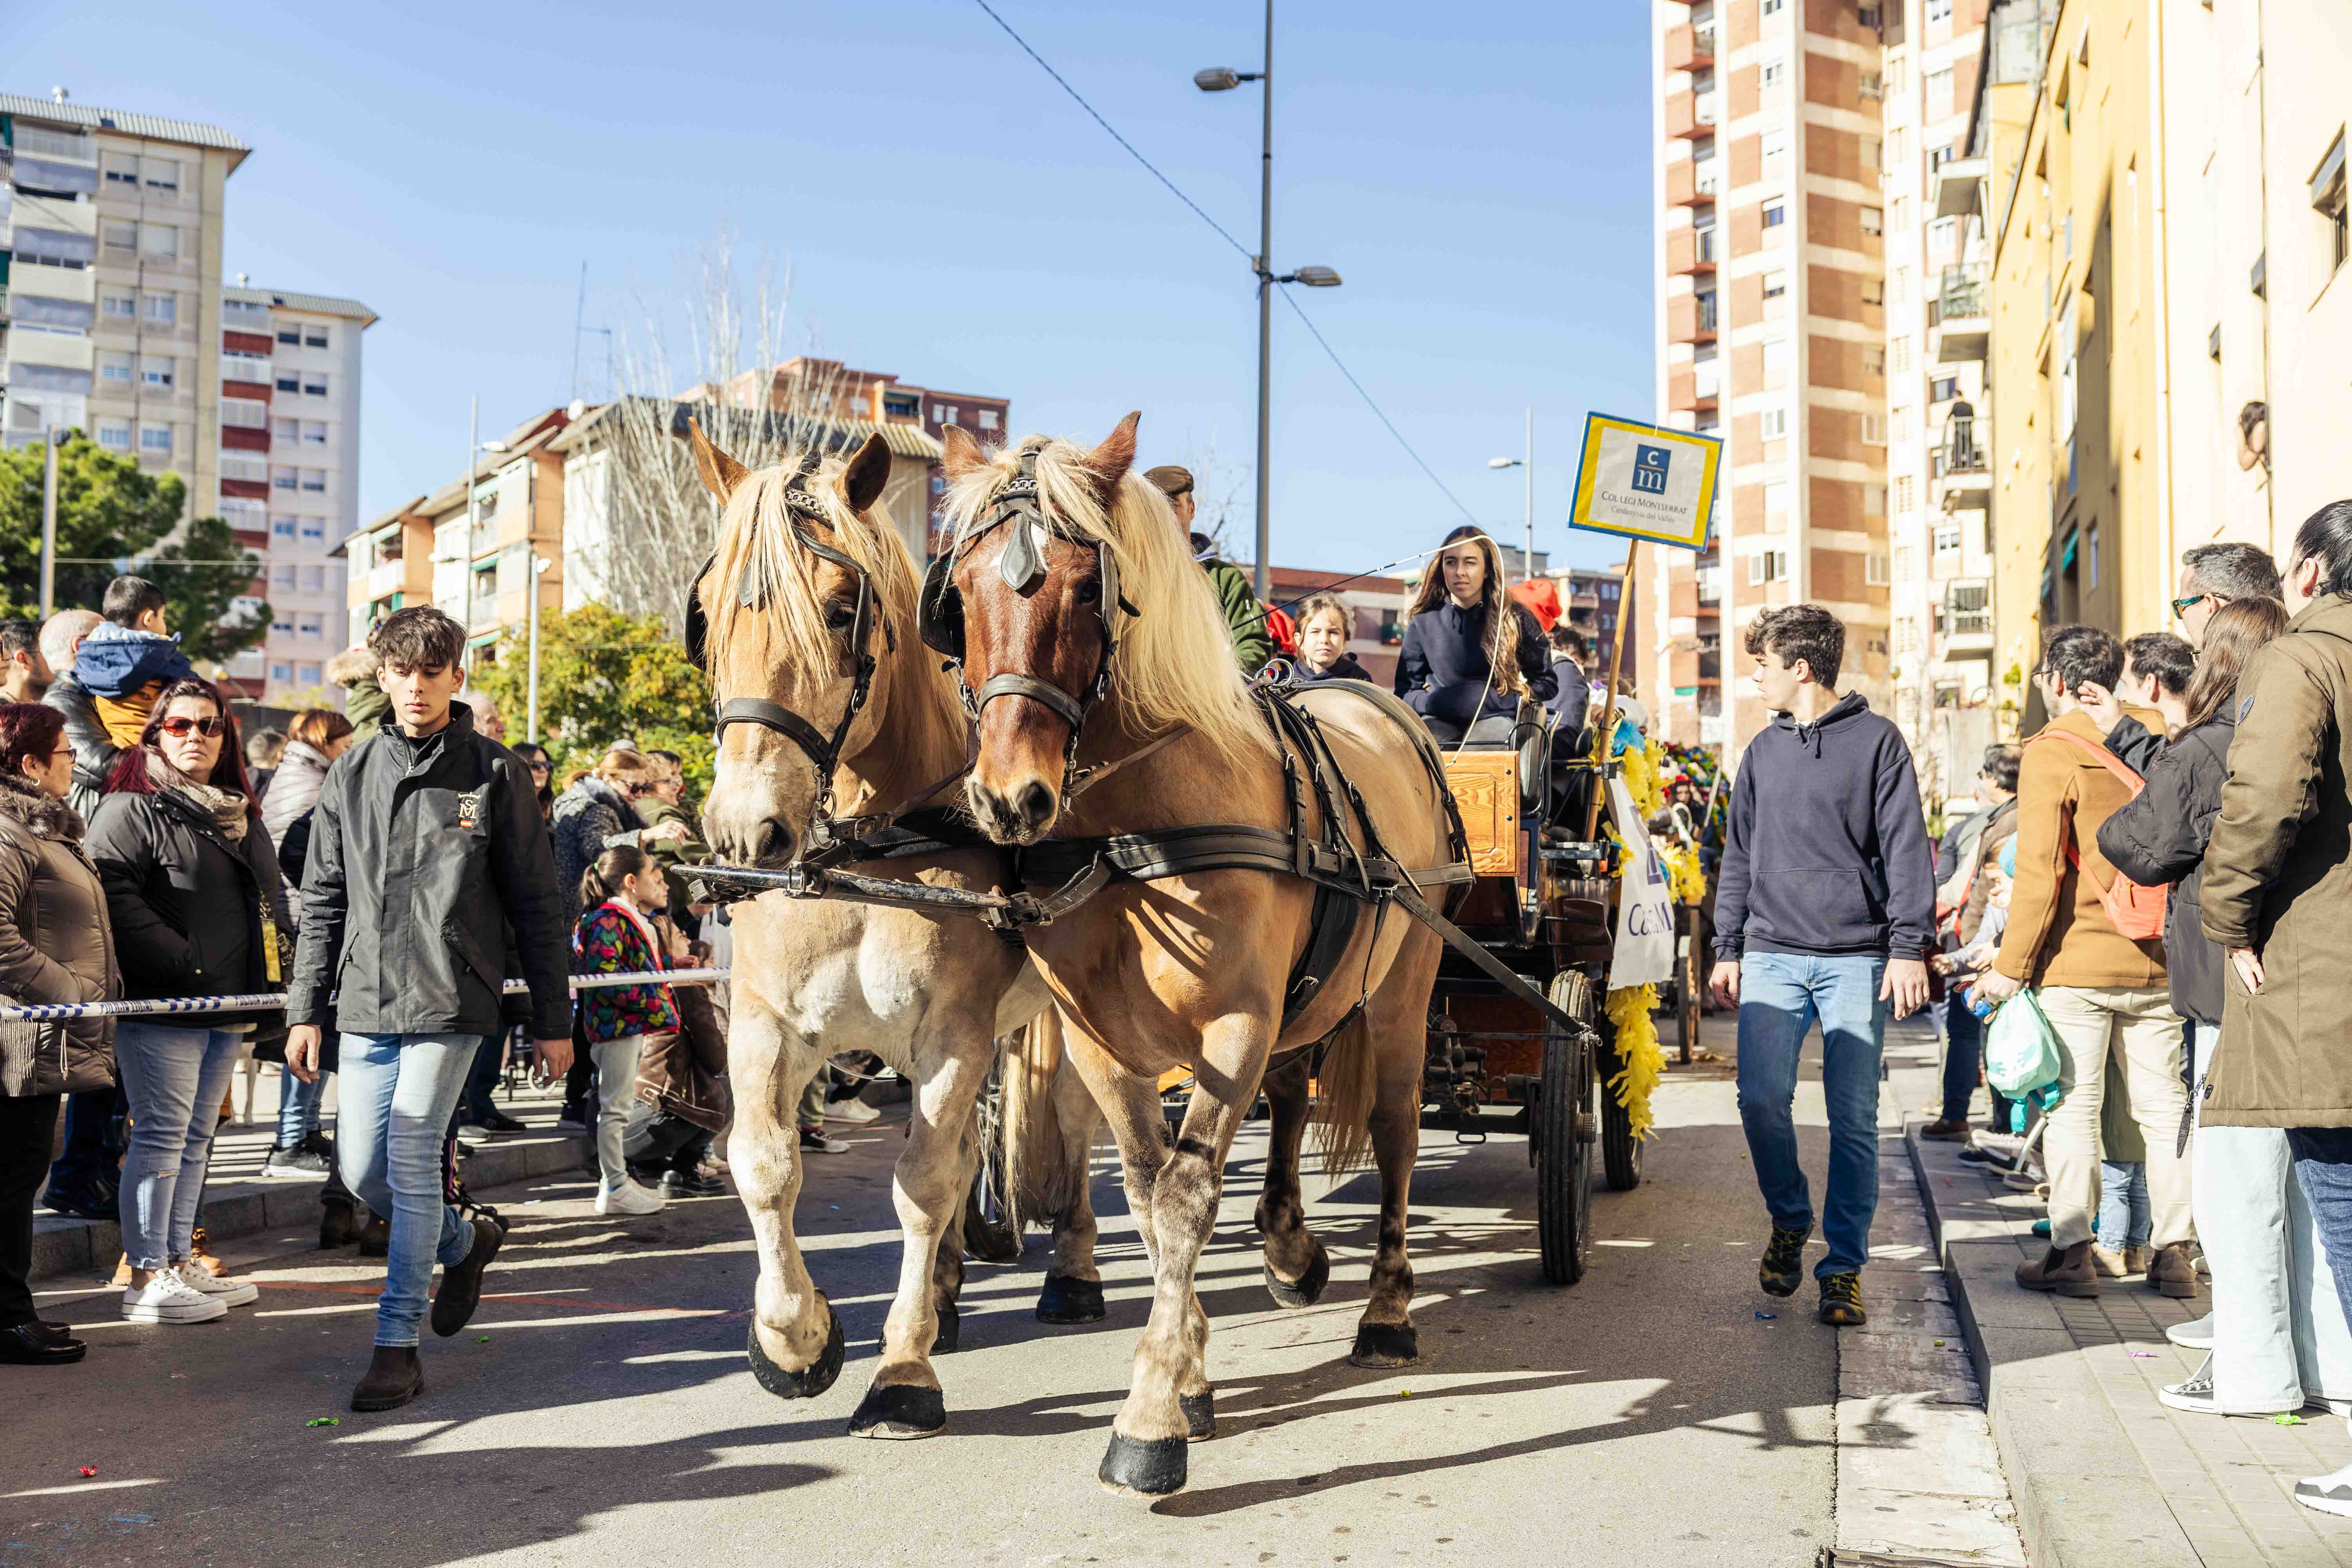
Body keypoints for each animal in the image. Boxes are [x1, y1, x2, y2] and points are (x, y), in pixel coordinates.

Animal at [687, 423, 1105, 1439]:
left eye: (843, 612)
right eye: (707, 614)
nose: (744, 830)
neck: (863, 856)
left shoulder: (953, 1033)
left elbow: (920, 1183)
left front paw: (902, 1370)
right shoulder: (764, 1024)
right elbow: (763, 1163)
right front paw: (795, 1339)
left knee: (1068, 1122)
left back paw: (1071, 1268)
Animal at [931, 416, 1449, 1495]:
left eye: (1088, 589)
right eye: (958, 593)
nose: (1010, 798)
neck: (1142, 831)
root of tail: (1383, 710)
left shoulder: (1234, 1023)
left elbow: (1184, 1194)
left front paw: (1151, 1417)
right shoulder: (1101, 1038)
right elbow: (1143, 1186)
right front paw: (1190, 1376)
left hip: (1402, 990)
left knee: (1396, 1134)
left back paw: (1386, 1309)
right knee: (1292, 1095)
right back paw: (1291, 1246)